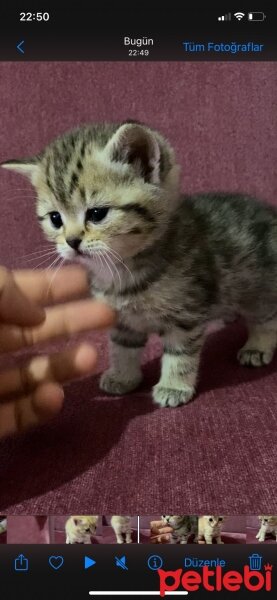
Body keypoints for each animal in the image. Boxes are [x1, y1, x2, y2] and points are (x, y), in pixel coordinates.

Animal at [3, 119, 276, 406]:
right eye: (55, 218)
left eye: (97, 213)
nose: (72, 241)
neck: (122, 272)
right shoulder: (122, 321)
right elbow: (122, 349)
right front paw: (122, 377)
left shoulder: (185, 316)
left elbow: (180, 355)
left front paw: (174, 386)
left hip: (258, 286)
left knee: (267, 316)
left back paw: (257, 346)